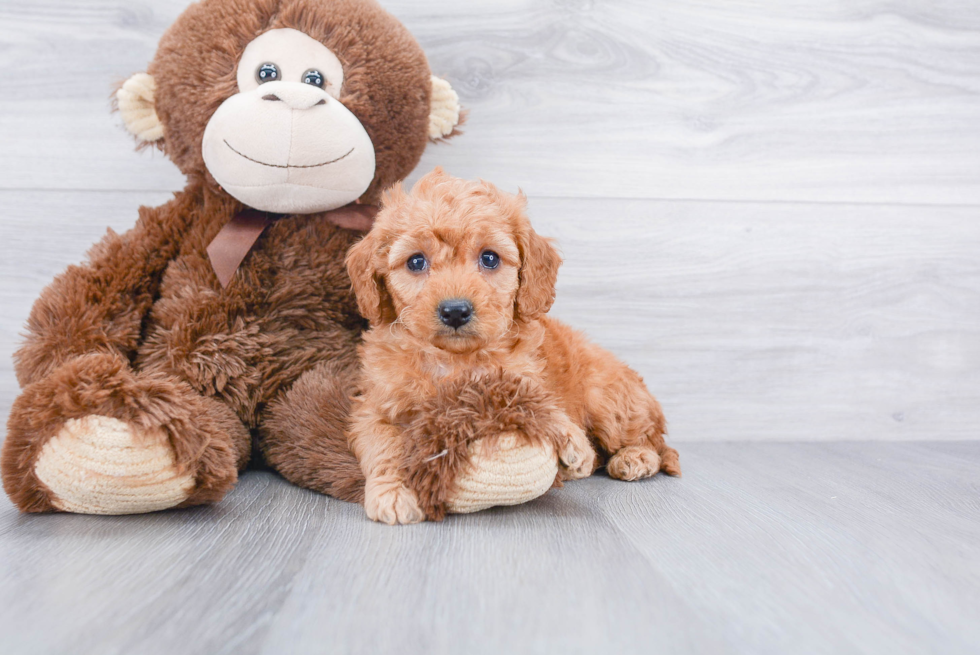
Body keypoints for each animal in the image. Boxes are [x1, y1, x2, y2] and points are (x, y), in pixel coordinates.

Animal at [346, 170, 680, 528]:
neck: (454, 359)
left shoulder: (520, 378)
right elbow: (384, 447)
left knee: (653, 440)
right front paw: (393, 491)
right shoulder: (374, 409)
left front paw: (570, 439)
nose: (455, 311)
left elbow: (536, 403)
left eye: (490, 258)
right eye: (416, 261)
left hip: (608, 399)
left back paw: (635, 457)